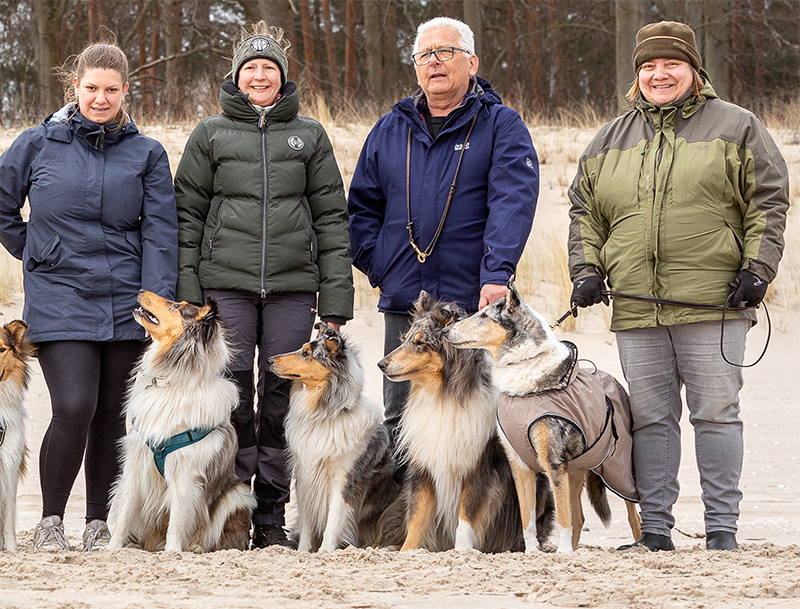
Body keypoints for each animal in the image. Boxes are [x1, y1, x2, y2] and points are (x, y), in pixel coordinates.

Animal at [108, 290, 255, 552]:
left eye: (177, 307)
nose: (141, 290)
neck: (171, 380)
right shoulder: (135, 463)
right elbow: (125, 510)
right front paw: (113, 547)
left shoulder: (185, 470)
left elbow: (177, 517)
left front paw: (173, 552)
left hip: (238, 494)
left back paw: (195, 547)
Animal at [272, 324, 400, 552]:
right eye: (302, 349)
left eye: (307, 353)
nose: (269, 360)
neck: (326, 415)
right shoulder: (305, 475)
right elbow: (307, 524)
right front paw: (303, 551)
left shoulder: (343, 479)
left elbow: (333, 521)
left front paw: (325, 551)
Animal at [374, 292, 552, 552]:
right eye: (405, 339)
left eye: (420, 343)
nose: (381, 364)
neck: (443, 396)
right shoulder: (426, 468)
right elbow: (417, 516)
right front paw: (408, 551)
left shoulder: (477, 469)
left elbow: (465, 516)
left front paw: (462, 551)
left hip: (541, 489)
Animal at [446, 278, 640, 552]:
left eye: (484, 316)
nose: (444, 332)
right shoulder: (520, 465)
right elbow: (528, 521)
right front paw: (532, 552)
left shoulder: (553, 463)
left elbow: (563, 519)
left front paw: (564, 553)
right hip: (577, 470)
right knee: (579, 517)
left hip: (619, 469)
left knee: (633, 515)